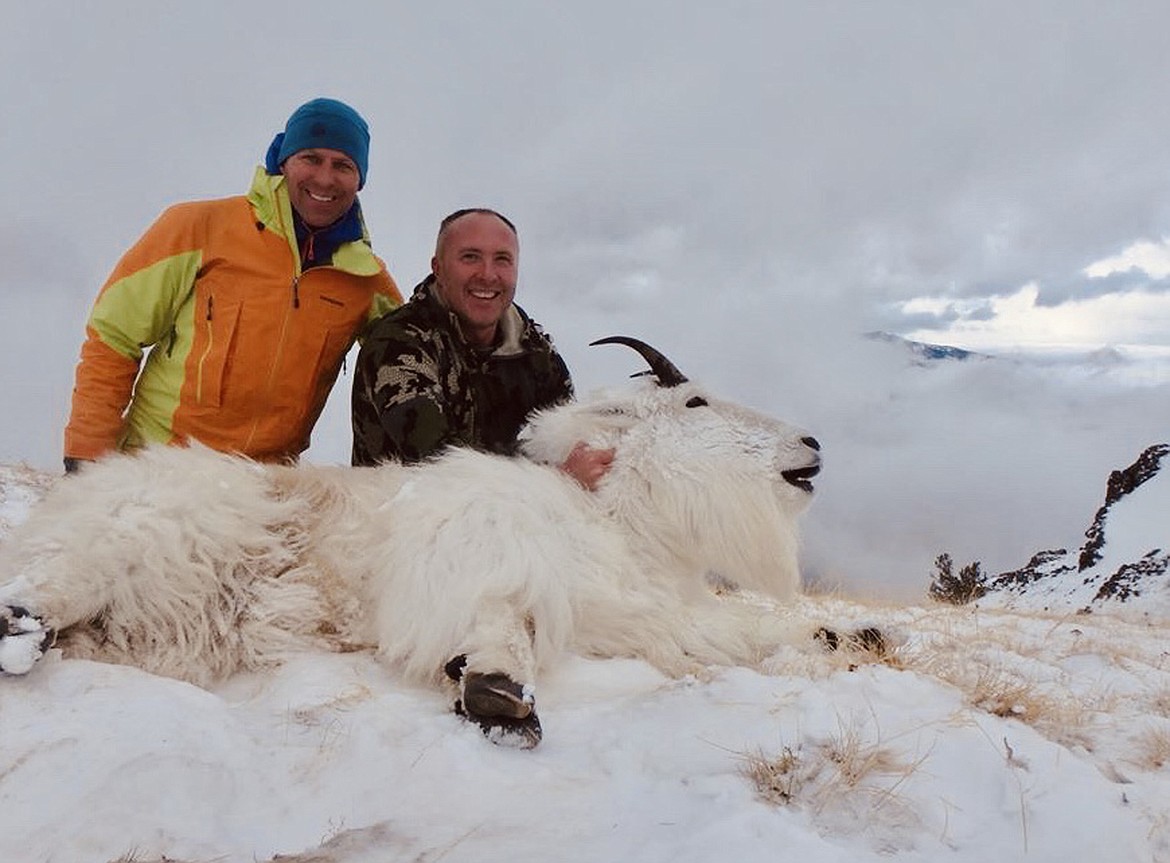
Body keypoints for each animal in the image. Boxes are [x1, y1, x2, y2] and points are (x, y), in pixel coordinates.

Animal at [0, 336, 842, 748]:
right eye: (694, 400)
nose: (812, 444)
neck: (612, 518)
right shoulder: (477, 562)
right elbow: (499, 626)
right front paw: (497, 695)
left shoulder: (658, 616)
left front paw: (846, 633)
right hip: (131, 545)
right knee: (32, 596)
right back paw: (20, 634)